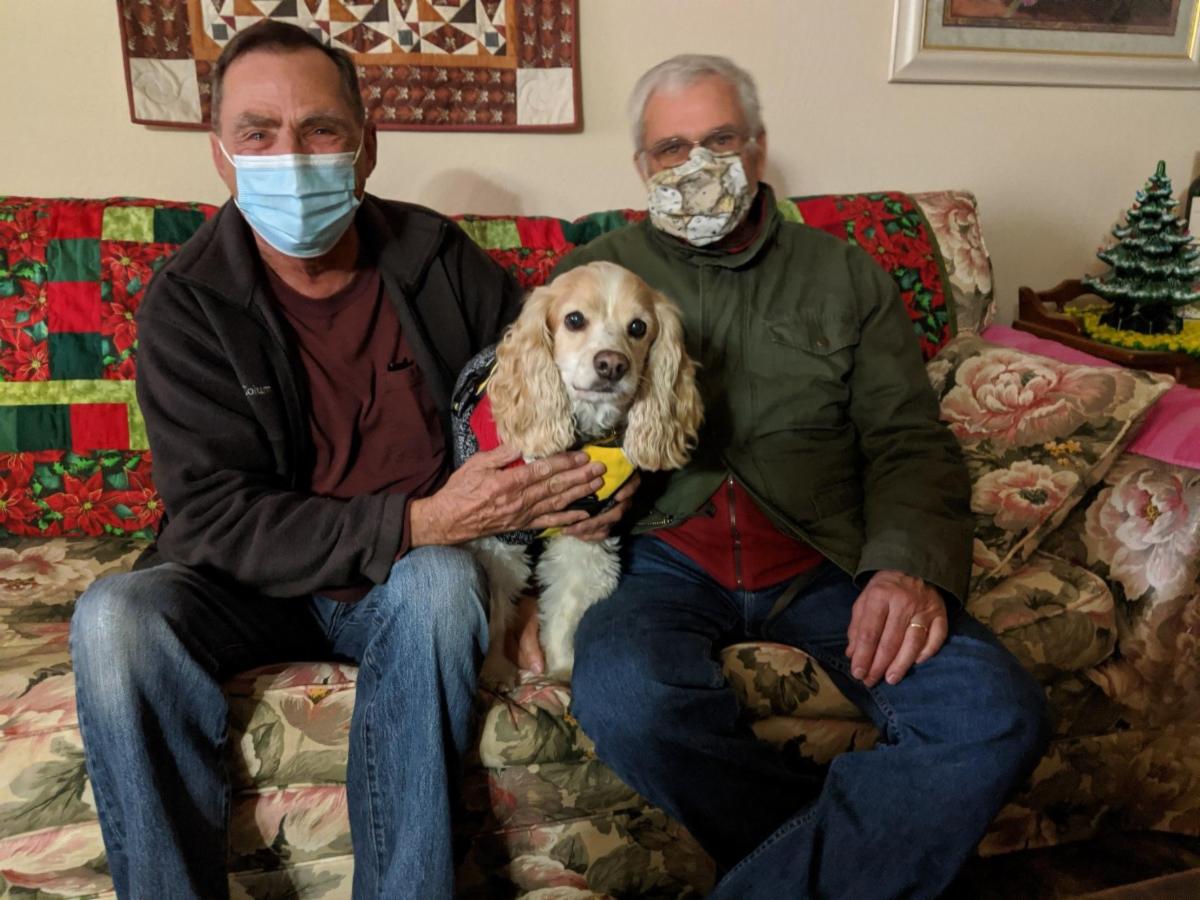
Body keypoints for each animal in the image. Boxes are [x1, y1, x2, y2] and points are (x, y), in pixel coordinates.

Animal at [451, 261, 703, 683]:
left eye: (638, 327)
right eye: (574, 320)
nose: (612, 364)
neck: (581, 433)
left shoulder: (585, 533)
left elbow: (566, 609)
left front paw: (561, 669)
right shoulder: (498, 534)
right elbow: (497, 610)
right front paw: (495, 669)